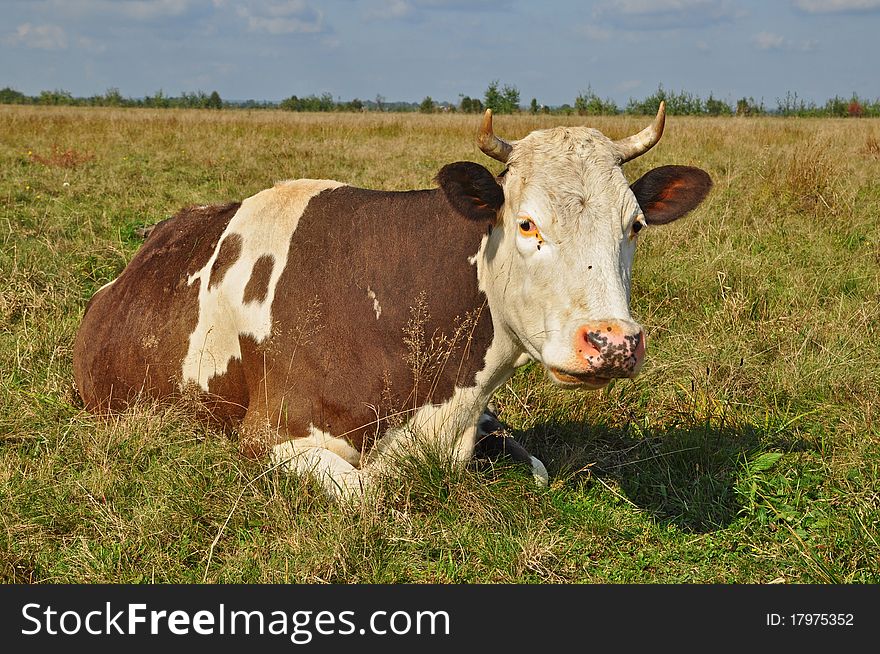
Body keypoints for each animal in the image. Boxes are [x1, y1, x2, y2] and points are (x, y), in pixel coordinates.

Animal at [72, 104, 712, 502]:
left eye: (634, 224)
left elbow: (535, 467)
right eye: (527, 223)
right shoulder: (269, 435)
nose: (613, 341)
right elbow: (368, 493)